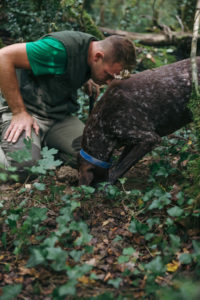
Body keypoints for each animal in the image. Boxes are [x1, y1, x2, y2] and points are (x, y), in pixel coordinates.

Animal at [77, 56, 197, 185]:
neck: (102, 122)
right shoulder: (131, 142)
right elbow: (120, 162)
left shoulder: (150, 138)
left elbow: (121, 167)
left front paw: (109, 184)